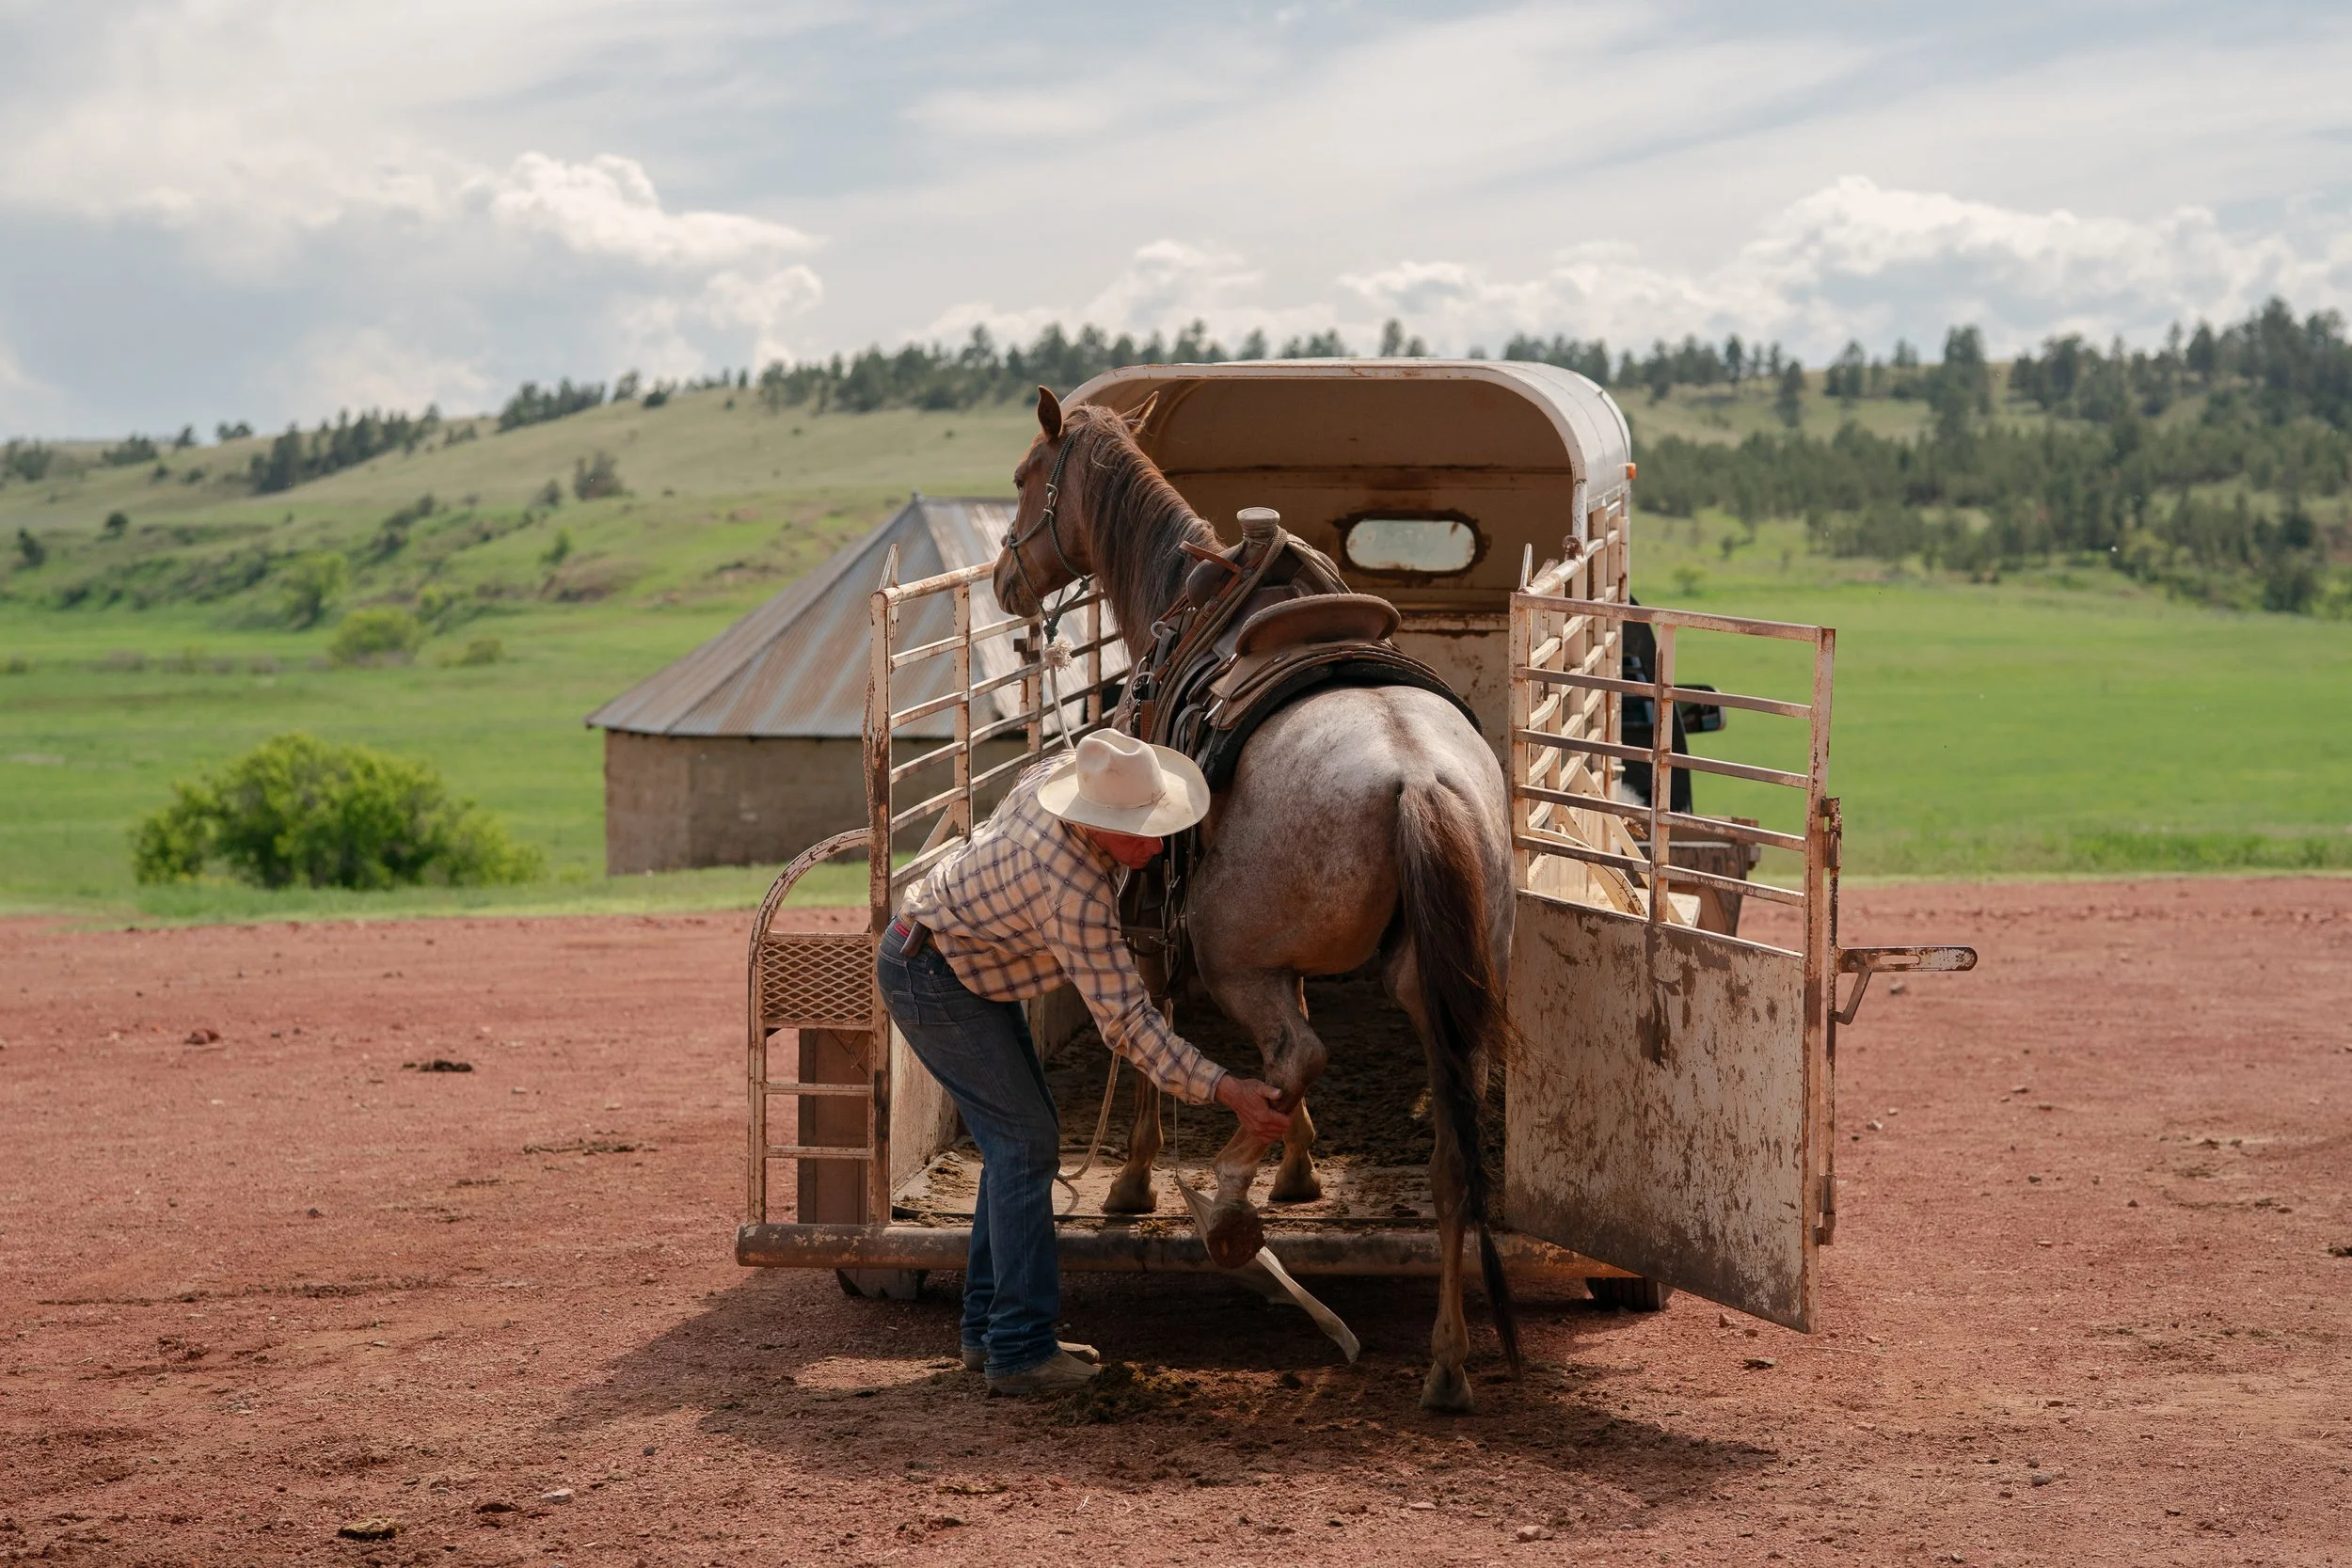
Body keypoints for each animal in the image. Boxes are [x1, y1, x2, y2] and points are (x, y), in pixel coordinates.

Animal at [991, 386, 1520, 1412]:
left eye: (1028, 476)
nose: (1002, 575)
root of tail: (1415, 776)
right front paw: (1301, 1169)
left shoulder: (1152, 930)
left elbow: (1155, 1032)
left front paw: (1135, 1182)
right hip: (1440, 994)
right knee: (1449, 1157)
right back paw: (1444, 1362)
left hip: (1241, 963)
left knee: (1297, 1054)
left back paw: (1227, 1206)